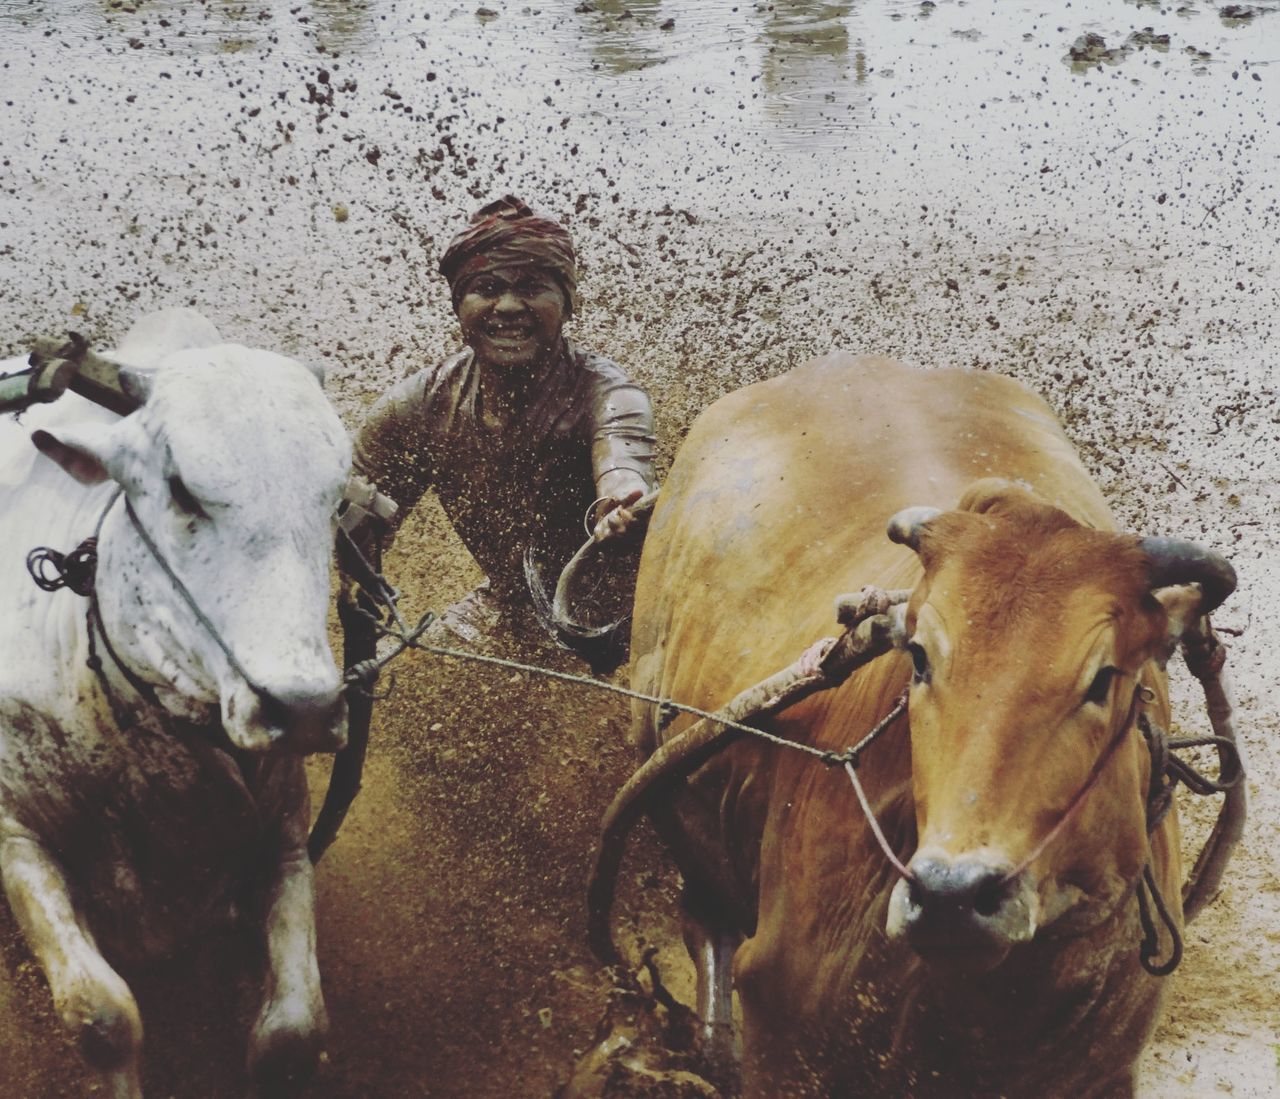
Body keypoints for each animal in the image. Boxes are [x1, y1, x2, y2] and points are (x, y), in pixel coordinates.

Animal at [0, 309, 350, 1099]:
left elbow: (292, 1032)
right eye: (184, 491)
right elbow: (102, 1016)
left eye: (337, 501)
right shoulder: (15, 837)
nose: (305, 708)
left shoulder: (282, 838)